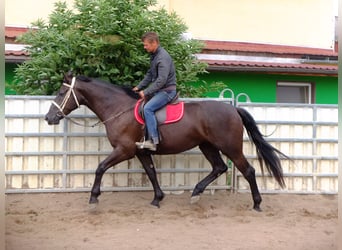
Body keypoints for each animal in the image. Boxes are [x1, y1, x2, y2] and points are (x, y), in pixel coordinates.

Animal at [44, 72, 288, 211]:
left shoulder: (125, 150)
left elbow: (100, 168)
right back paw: (196, 193)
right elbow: (152, 174)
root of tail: (233, 109)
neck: (119, 109)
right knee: (219, 168)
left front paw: (94, 199)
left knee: (248, 171)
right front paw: (157, 199)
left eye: (60, 93)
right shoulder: (141, 152)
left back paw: (256, 203)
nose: (49, 118)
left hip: (230, 147)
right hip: (207, 146)